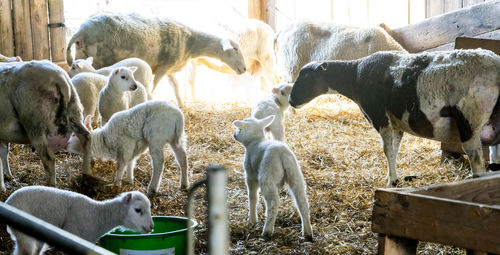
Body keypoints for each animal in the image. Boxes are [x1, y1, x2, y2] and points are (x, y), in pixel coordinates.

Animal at [0, 60, 91, 191]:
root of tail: (60, 78)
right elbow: (4, 152)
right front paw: (8, 176)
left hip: (35, 124)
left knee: (48, 158)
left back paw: (50, 186)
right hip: (75, 111)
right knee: (86, 138)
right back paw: (87, 175)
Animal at [66, 12, 246, 108]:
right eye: (235, 49)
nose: (244, 69)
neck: (190, 42)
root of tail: (81, 31)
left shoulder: (170, 68)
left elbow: (176, 87)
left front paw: (182, 104)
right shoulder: (162, 68)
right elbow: (154, 86)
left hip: (82, 57)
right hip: (100, 59)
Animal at [288, 48, 500, 186]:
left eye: (305, 77)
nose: (291, 100)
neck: (355, 77)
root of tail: (496, 65)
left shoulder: (381, 119)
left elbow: (387, 150)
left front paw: (392, 182)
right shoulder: (397, 125)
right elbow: (394, 150)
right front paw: (391, 177)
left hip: (470, 119)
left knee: (477, 161)